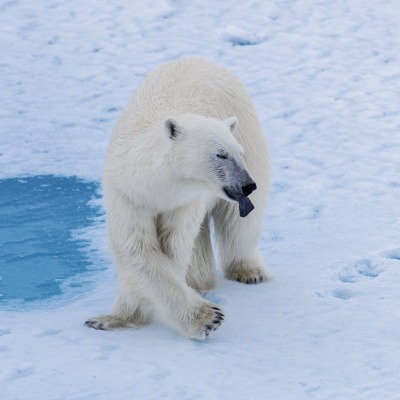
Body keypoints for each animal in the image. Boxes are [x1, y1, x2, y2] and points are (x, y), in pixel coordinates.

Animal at [85, 56, 270, 340]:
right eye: (220, 154)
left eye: (238, 153)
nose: (248, 185)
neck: (156, 186)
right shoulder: (128, 196)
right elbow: (138, 252)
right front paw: (113, 319)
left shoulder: (183, 202)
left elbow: (172, 250)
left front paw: (207, 318)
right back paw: (200, 282)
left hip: (249, 132)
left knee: (239, 223)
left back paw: (248, 272)